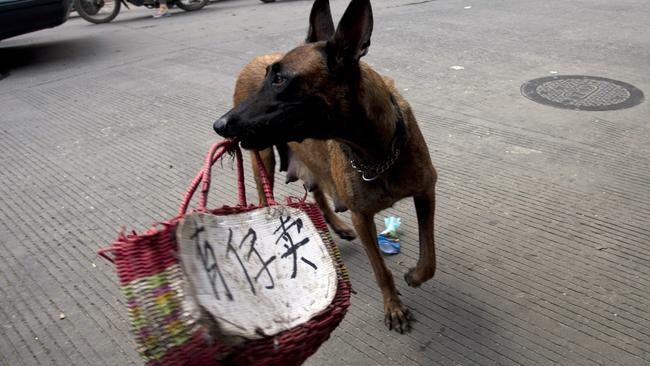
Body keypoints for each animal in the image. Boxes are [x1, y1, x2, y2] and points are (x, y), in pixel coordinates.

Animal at [214, 0, 436, 332]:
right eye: (270, 77)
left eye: (280, 79)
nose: (219, 125)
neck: (377, 151)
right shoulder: (362, 217)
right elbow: (381, 270)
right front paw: (394, 306)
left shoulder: (426, 193)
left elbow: (429, 256)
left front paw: (415, 276)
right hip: (263, 159)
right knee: (267, 196)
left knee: (318, 191)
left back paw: (337, 225)